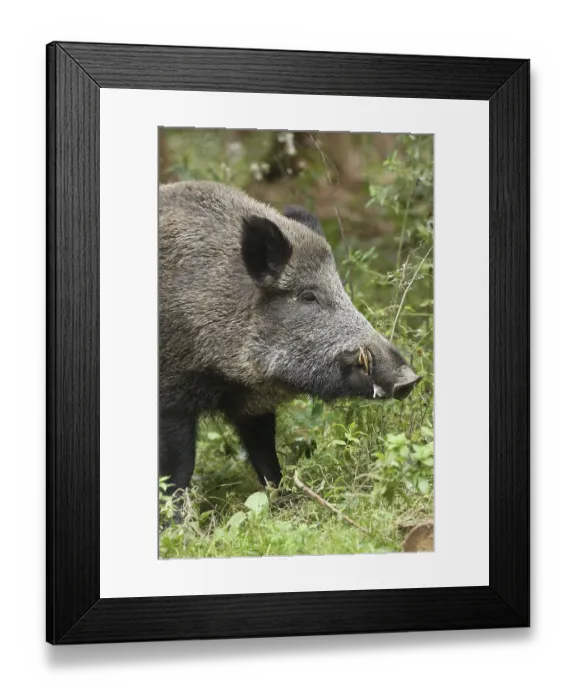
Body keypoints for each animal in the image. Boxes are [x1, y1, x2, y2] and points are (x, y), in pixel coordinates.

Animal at [159, 181, 420, 492]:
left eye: (341, 289)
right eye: (308, 296)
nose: (410, 379)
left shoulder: (253, 405)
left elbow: (266, 458)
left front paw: (280, 495)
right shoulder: (172, 398)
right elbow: (178, 471)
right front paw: (175, 508)